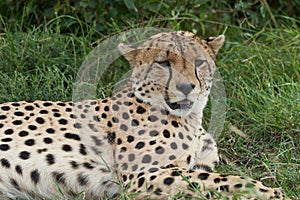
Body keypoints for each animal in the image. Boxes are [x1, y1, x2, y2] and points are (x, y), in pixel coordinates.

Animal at [0, 30, 284, 199]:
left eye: (199, 62)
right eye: (163, 63)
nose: (186, 87)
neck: (189, 119)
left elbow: (210, 178)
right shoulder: (143, 175)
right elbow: (218, 180)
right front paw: (268, 191)